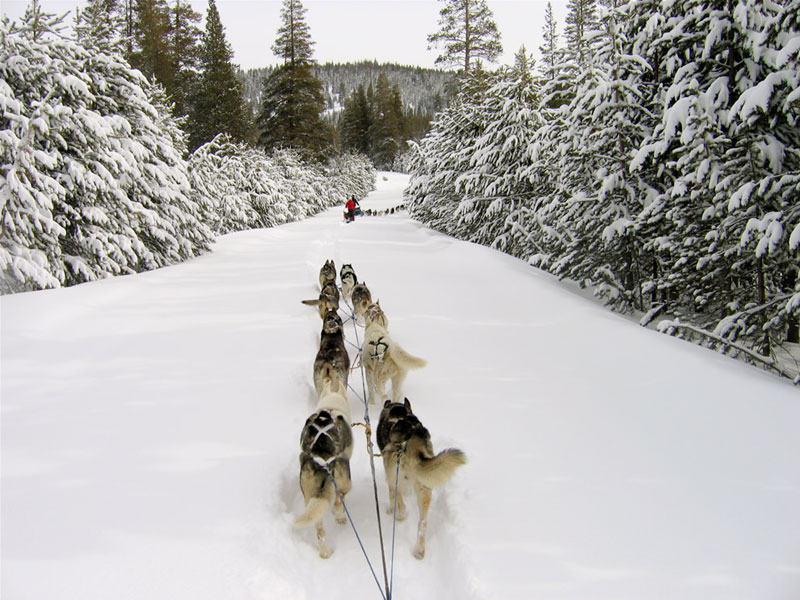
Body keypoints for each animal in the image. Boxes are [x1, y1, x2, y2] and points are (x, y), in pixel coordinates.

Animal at [294, 382, 354, 560]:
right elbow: (339, 500)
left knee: (319, 530)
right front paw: (339, 514)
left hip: (310, 496)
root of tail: (322, 460)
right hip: (345, 478)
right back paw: (340, 516)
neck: (331, 407)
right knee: (339, 498)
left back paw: (325, 552)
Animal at [378, 398, 466, 556]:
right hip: (424, 488)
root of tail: (412, 439)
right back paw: (419, 551)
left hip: (396, 477)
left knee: (400, 502)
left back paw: (400, 515)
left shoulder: (391, 477)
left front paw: (390, 509)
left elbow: (392, 495)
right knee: (423, 523)